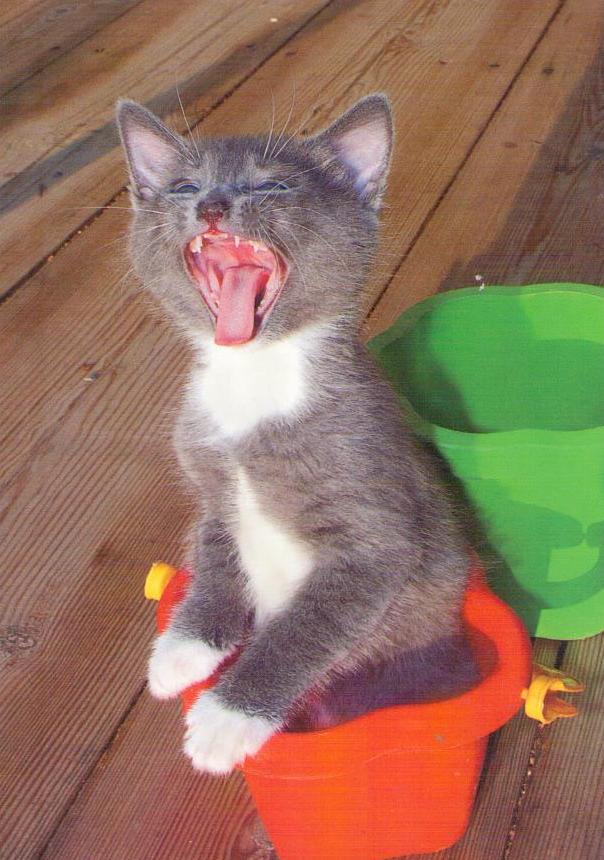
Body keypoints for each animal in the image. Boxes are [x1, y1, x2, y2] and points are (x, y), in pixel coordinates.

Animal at [117, 94, 476, 772]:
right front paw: (183, 647)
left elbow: (306, 627)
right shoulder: (213, 492)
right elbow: (215, 556)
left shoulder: (375, 537)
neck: (253, 382)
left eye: (273, 185)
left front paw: (227, 718)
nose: (211, 206)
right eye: (183, 186)